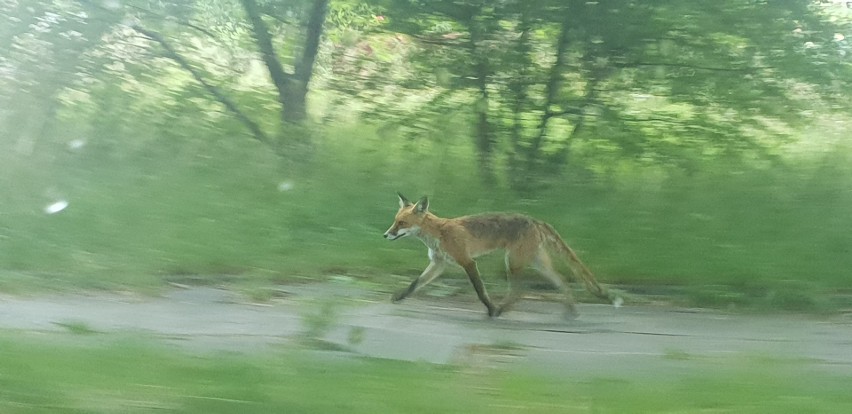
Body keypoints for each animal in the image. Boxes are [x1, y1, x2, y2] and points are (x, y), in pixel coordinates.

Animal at [382, 192, 616, 318]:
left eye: (401, 223)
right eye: (394, 221)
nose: (385, 235)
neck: (439, 233)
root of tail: (536, 220)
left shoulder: (467, 261)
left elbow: (480, 291)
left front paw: (491, 308)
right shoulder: (438, 264)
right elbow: (414, 284)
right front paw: (399, 297)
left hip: (512, 262)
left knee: (520, 292)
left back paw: (500, 309)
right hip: (537, 263)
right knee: (562, 282)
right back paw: (571, 311)